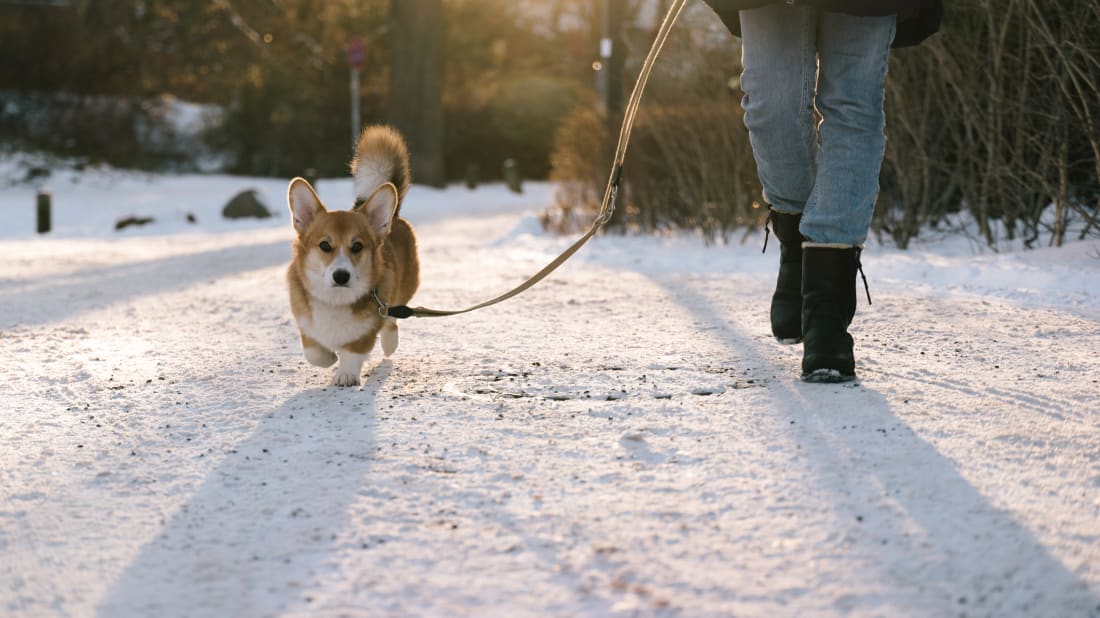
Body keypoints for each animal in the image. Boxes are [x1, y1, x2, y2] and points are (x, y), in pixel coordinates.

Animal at [286, 125, 418, 384]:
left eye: (357, 247)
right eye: (325, 245)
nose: (341, 276)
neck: (335, 300)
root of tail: (394, 217)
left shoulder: (369, 326)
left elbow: (353, 350)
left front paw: (345, 373)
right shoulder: (305, 323)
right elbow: (314, 352)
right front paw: (329, 358)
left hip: (401, 291)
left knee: (393, 319)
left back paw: (390, 344)